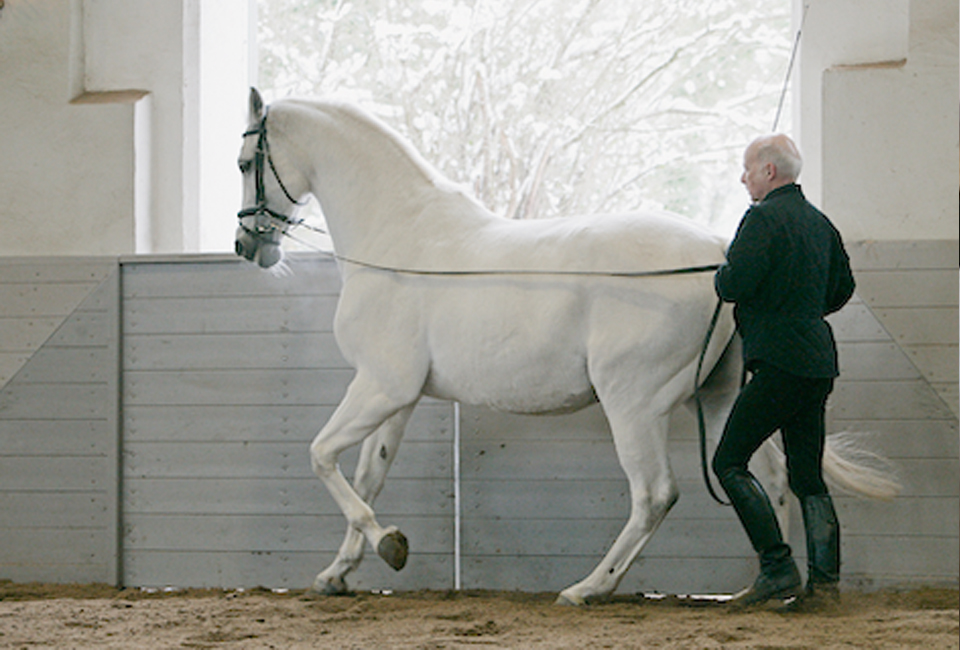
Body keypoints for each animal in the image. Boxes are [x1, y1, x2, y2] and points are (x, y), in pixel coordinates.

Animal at [236, 87, 896, 604]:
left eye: (246, 161)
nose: (248, 247)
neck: (400, 241)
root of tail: (717, 252)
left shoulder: (379, 385)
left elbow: (321, 456)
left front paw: (387, 545)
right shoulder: (398, 397)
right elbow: (367, 476)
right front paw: (338, 573)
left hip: (635, 403)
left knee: (656, 493)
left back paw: (590, 587)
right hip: (718, 398)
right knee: (772, 477)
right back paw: (769, 586)